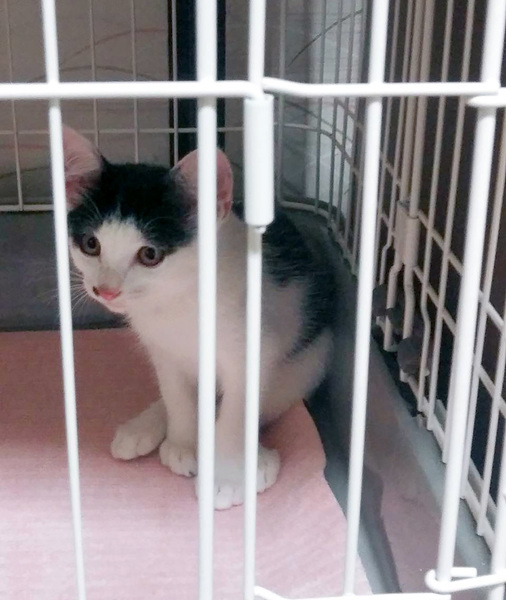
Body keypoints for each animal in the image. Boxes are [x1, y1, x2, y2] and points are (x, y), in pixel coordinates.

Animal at [63, 125, 336, 510]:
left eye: (149, 255)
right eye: (91, 244)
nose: (106, 290)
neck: (179, 300)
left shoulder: (252, 350)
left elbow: (237, 412)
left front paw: (226, 475)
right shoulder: (161, 348)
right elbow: (176, 394)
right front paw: (183, 443)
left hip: (310, 361)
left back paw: (255, 459)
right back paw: (145, 426)